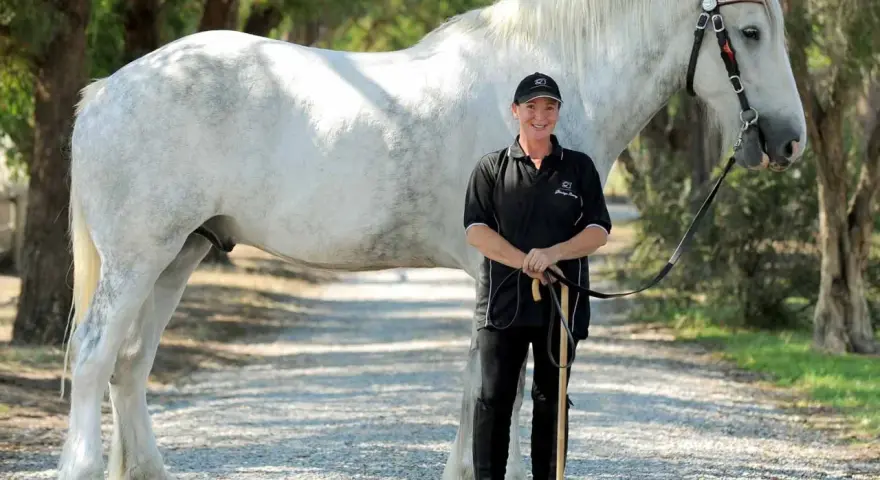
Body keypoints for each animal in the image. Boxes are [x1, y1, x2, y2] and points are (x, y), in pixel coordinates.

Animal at [59, 0, 805, 478]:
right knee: (96, 358)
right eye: (748, 31)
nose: (789, 141)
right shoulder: (495, 271)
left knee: (131, 366)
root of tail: (105, 90)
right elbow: (486, 382)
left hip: (179, 255)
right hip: (139, 258)